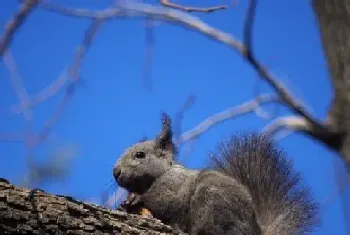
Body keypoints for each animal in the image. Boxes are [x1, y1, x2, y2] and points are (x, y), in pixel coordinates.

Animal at [113, 113, 318, 234]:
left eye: (140, 155)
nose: (115, 172)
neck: (162, 173)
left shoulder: (174, 185)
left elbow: (165, 201)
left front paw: (136, 198)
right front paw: (125, 205)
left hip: (213, 201)